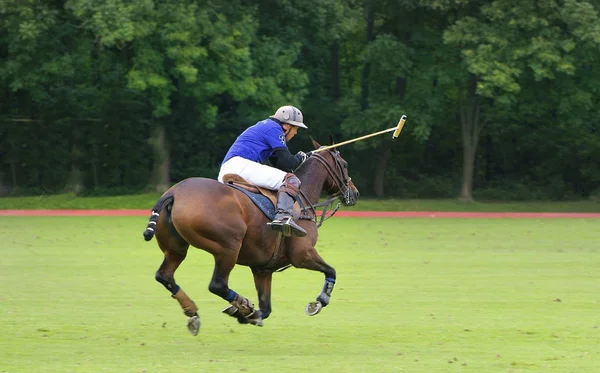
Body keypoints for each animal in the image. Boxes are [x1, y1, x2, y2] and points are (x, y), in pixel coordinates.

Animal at [141, 139, 358, 334]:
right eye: (345, 164)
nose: (354, 193)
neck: (303, 200)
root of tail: (173, 193)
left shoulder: (263, 269)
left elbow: (266, 308)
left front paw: (246, 315)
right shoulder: (302, 254)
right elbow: (331, 271)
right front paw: (319, 302)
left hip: (176, 248)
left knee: (164, 275)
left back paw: (194, 312)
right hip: (229, 246)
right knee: (217, 284)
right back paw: (243, 305)